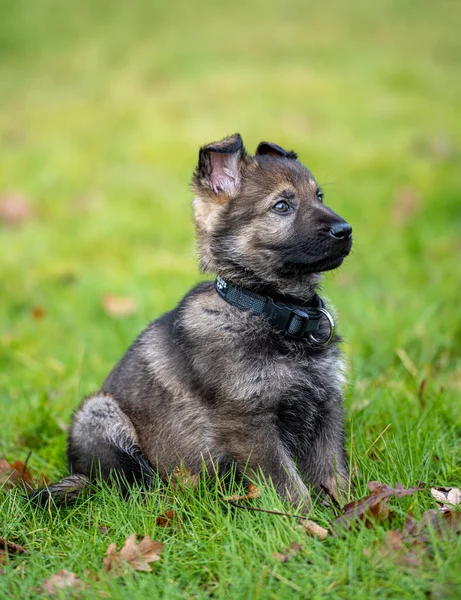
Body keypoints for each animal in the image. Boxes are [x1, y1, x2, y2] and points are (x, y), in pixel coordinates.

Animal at [32, 135, 352, 506]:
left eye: (319, 196)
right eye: (282, 206)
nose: (346, 230)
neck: (271, 309)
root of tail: (81, 475)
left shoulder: (326, 404)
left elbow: (334, 473)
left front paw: (351, 512)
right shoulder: (248, 422)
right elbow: (289, 485)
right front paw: (309, 519)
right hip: (97, 415)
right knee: (132, 486)